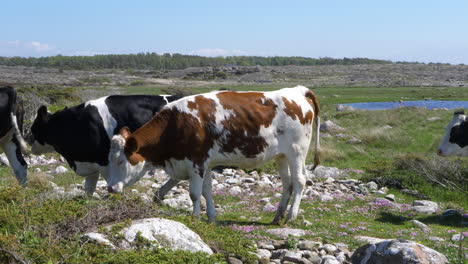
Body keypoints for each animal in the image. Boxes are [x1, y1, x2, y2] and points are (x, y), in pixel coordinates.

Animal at [30, 94, 182, 193]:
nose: (27, 140)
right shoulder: (91, 165)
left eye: (33, 127)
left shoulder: (107, 163)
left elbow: (113, 184)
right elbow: (89, 189)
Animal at [108, 85, 320, 224]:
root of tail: (296, 91)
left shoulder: (196, 162)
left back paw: (291, 216)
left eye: (120, 161)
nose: (110, 188)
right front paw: (210, 217)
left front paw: (195, 218)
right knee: (287, 183)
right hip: (281, 156)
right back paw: (278, 216)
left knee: (300, 181)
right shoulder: (205, 164)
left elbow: (194, 193)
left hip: (297, 152)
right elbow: (206, 191)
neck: (176, 123)